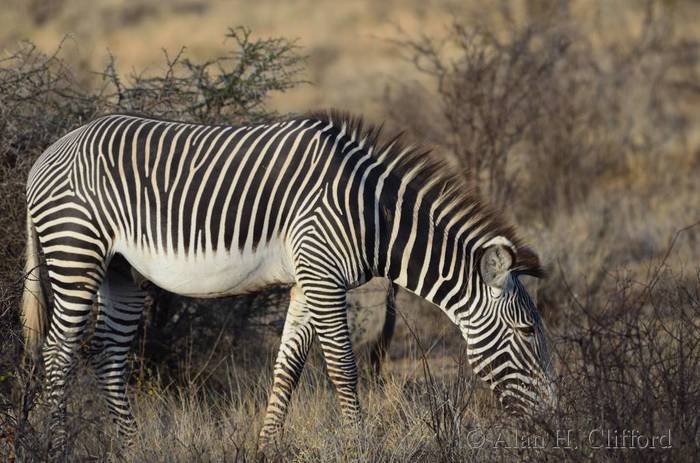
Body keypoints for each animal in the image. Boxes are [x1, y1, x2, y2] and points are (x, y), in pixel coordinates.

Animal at [20, 110, 554, 458]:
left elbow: (288, 368)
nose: (554, 421)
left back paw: (131, 449)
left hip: (118, 270)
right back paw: (56, 446)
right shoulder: (323, 277)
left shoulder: (306, 281)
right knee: (58, 351)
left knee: (107, 355)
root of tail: (48, 152)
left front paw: (266, 448)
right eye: (528, 332)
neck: (372, 214)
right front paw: (360, 446)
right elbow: (343, 368)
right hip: (76, 251)